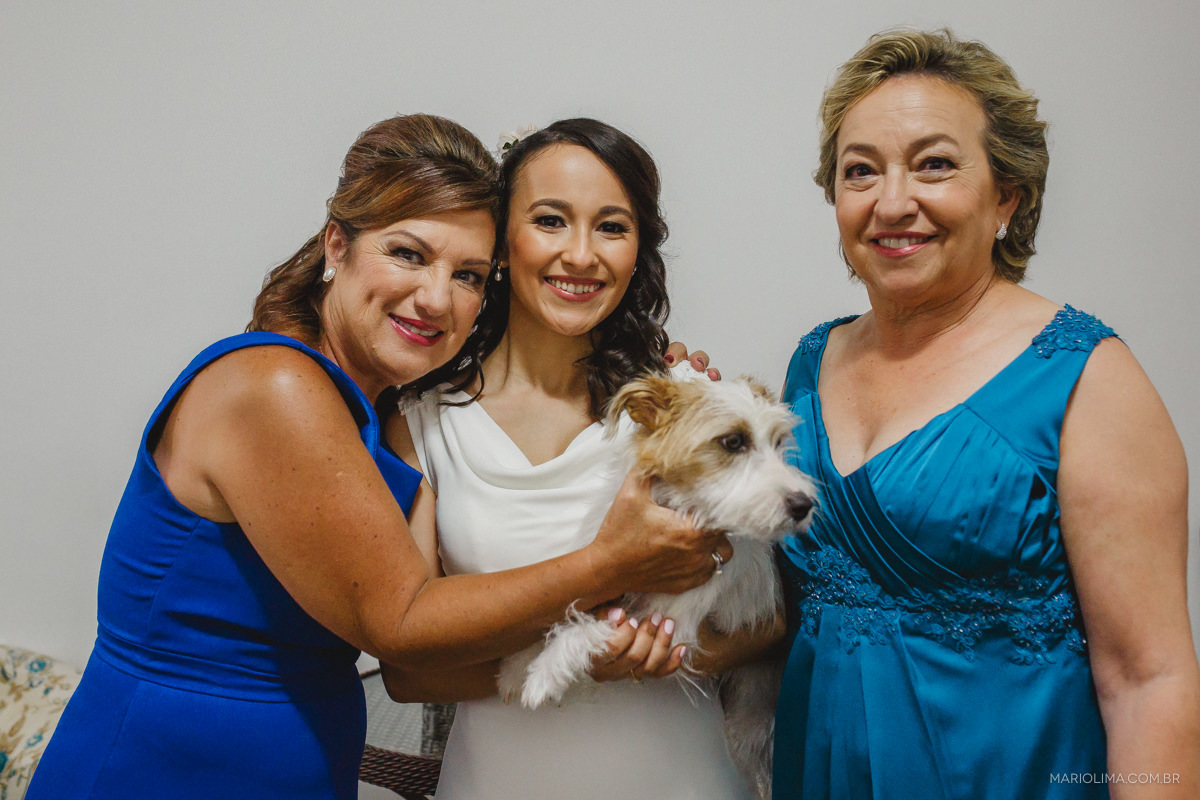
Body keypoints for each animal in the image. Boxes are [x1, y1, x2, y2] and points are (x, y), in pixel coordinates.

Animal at [496, 364, 816, 797]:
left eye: (779, 442)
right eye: (733, 441)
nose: (804, 505)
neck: (681, 511)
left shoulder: (668, 627)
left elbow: (588, 627)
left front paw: (546, 673)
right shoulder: (611, 575)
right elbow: (571, 611)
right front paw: (517, 667)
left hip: (752, 732)